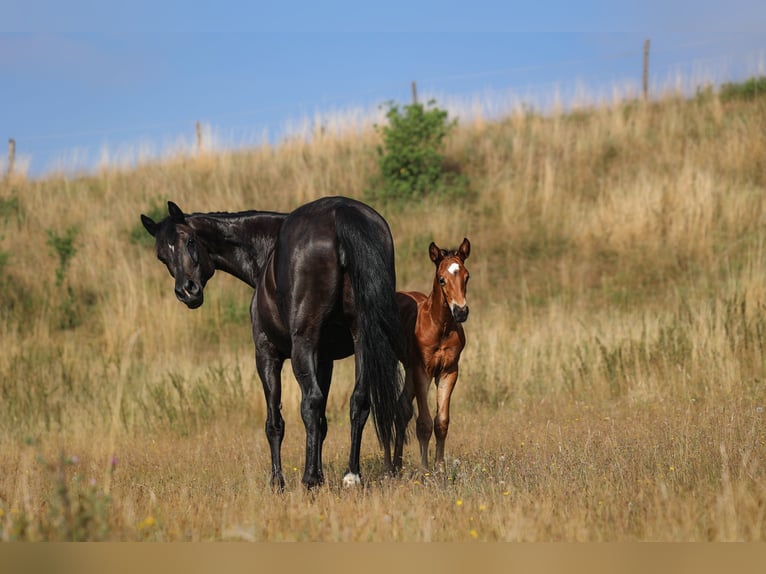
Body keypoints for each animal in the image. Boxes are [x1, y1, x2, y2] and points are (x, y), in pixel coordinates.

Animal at [140, 196, 405, 490]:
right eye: (162, 256)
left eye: (189, 241)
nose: (187, 291)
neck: (268, 250)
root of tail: (341, 213)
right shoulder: (324, 358)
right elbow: (323, 421)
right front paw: (320, 474)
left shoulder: (267, 355)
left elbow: (275, 422)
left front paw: (278, 482)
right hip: (363, 338)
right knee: (358, 401)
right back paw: (351, 476)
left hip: (303, 345)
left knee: (310, 403)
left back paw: (309, 479)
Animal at [383, 238, 471, 473]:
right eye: (442, 279)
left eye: (467, 277)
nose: (461, 312)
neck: (440, 327)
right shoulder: (423, 371)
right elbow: (424, 423)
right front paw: (424, 470)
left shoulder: (449, 371)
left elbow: (441, 422)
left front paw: (439, 469)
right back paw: (388, 466)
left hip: (409, 370)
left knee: (401, 407)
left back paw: (397, 466)